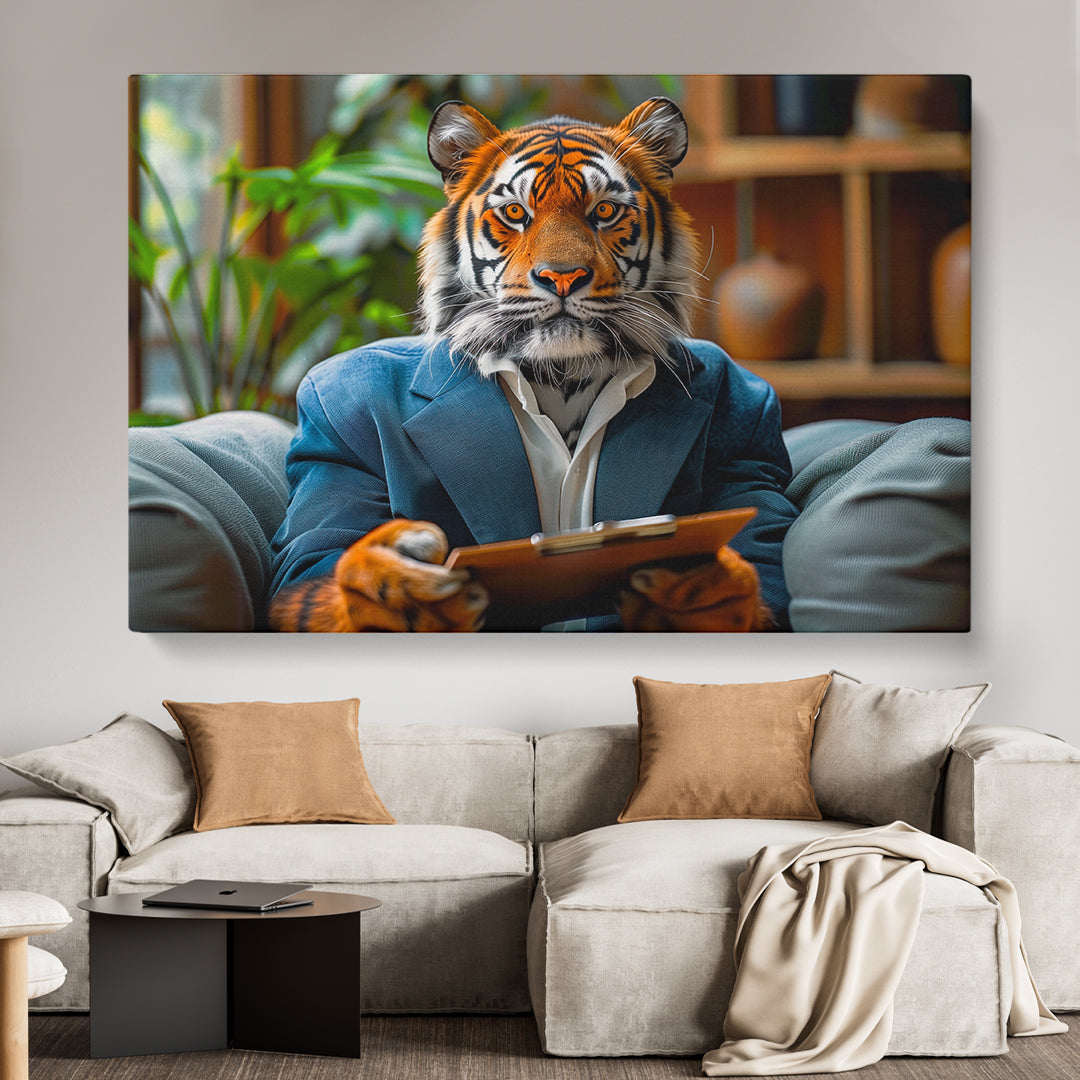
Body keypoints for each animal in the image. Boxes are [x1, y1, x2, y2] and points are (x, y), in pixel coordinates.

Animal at [269, 97, 795, 632]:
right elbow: (315, 566)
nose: (561, 278)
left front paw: (708, 589)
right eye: (515, 213)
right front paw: (398, 588)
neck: (561, 375)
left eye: (604, 210)